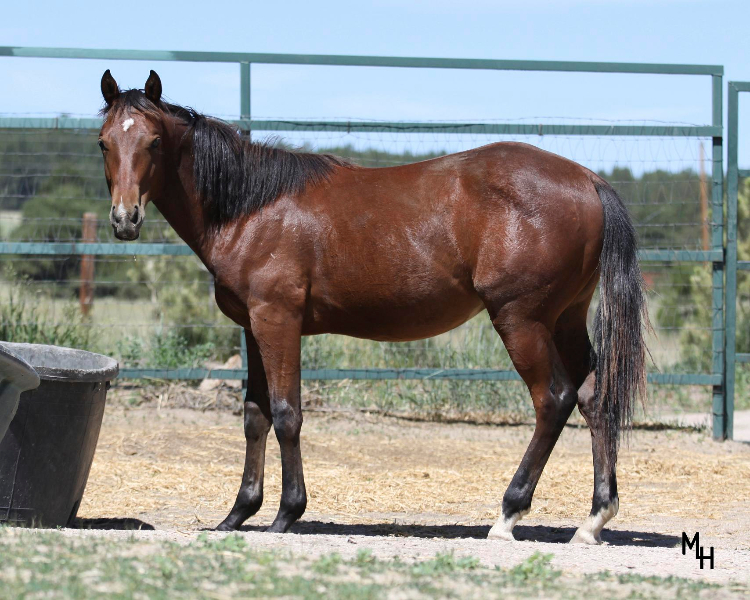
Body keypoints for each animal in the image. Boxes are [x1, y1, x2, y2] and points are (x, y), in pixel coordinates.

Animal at [97, 70, 648, 544]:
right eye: (104, 142)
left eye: (153, 142)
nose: (125, 219)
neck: (252, 209)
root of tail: (587, 179)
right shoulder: (253, 328)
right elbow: (255, 415)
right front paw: (237, 515)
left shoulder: (277, 322)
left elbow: (286, 413)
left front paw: (286, 513)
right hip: (565, 319)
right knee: (593, 397)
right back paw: (593, 520)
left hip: (521, 320)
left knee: (553, 400)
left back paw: (508, 513)